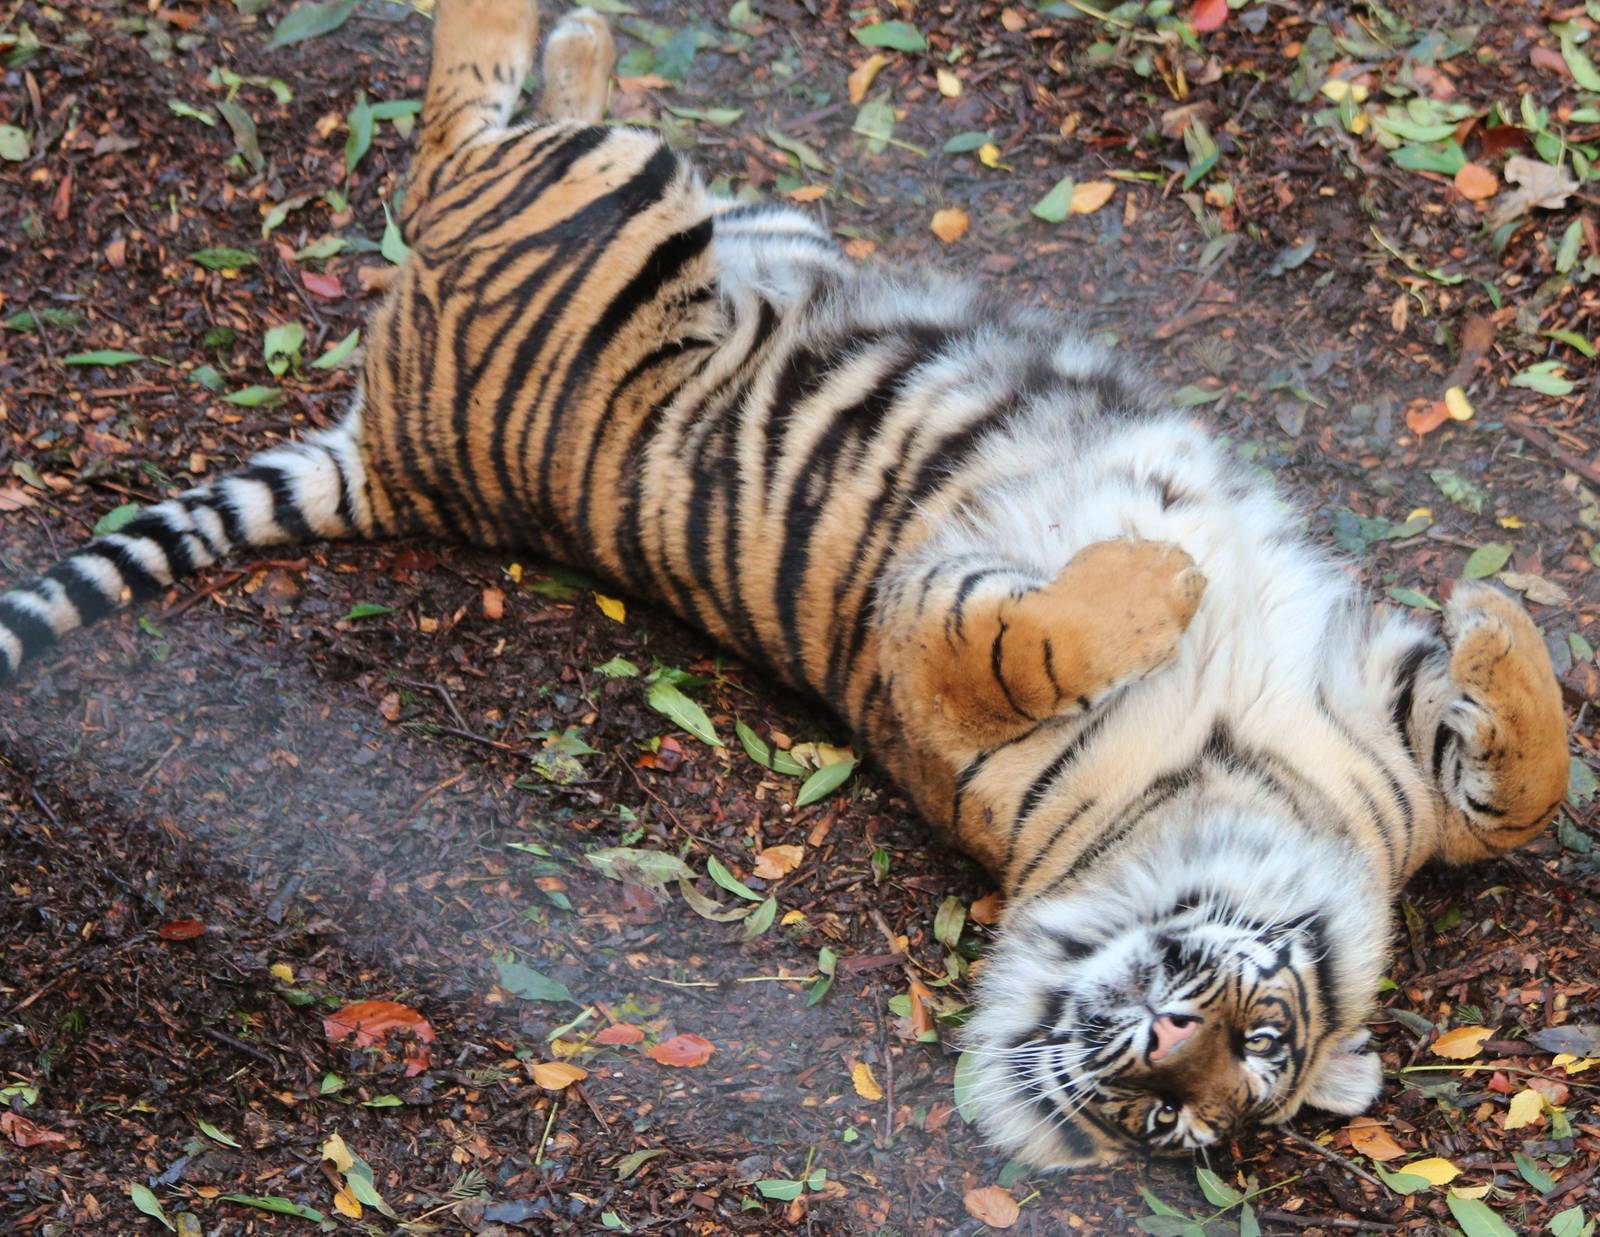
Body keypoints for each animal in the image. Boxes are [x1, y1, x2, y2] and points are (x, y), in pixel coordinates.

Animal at [0, 0, 1570, 1169]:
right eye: (1249, 1041)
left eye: (1196, 1105)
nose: (1170, 1047)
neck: (1239, 804)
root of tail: (395, 454)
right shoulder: (1232, 695)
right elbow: (1514, 780)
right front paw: (1493, 619)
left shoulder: (947, 664)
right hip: (639, 210)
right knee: (450, 133)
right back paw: (560, 34)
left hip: (620, 212)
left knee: (469, 142)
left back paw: (577, 42)